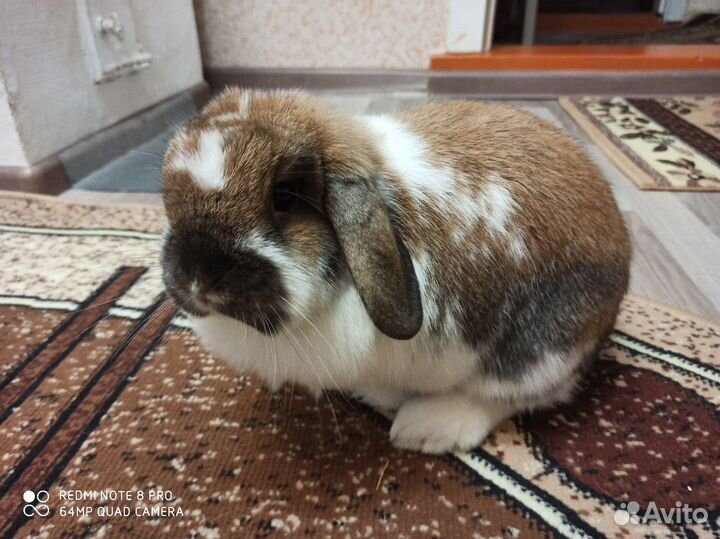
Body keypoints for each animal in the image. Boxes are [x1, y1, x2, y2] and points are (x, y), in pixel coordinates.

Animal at [161, 88, 631, 454]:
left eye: (285, 196)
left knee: (517, 394)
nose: (196, 279)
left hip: (543, 347)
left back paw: (424, 428)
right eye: (168, 196)